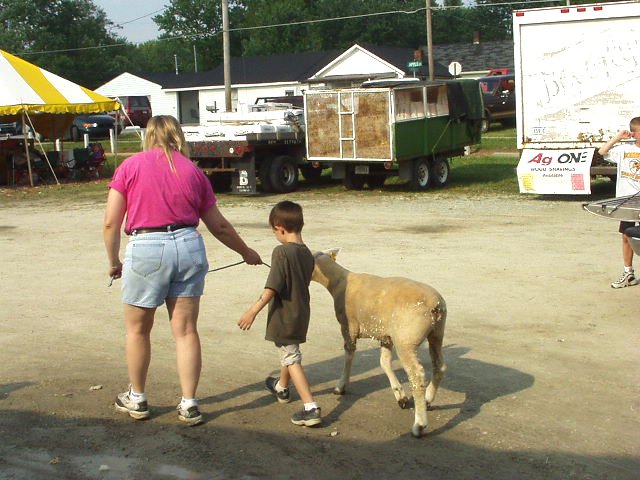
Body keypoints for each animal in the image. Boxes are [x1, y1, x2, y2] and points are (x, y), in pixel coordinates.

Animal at [311, 249, 447, 438]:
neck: (338, 281)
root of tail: (435, 305)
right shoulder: (386, 335)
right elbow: (384, 363)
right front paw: (400, 395)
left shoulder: (348, 327)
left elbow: (349, 355)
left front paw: (340, 387)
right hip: (436, 334)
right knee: (439, 367)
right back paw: (428, 399)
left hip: (406, 340)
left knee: (416, 376)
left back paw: (419, 424)